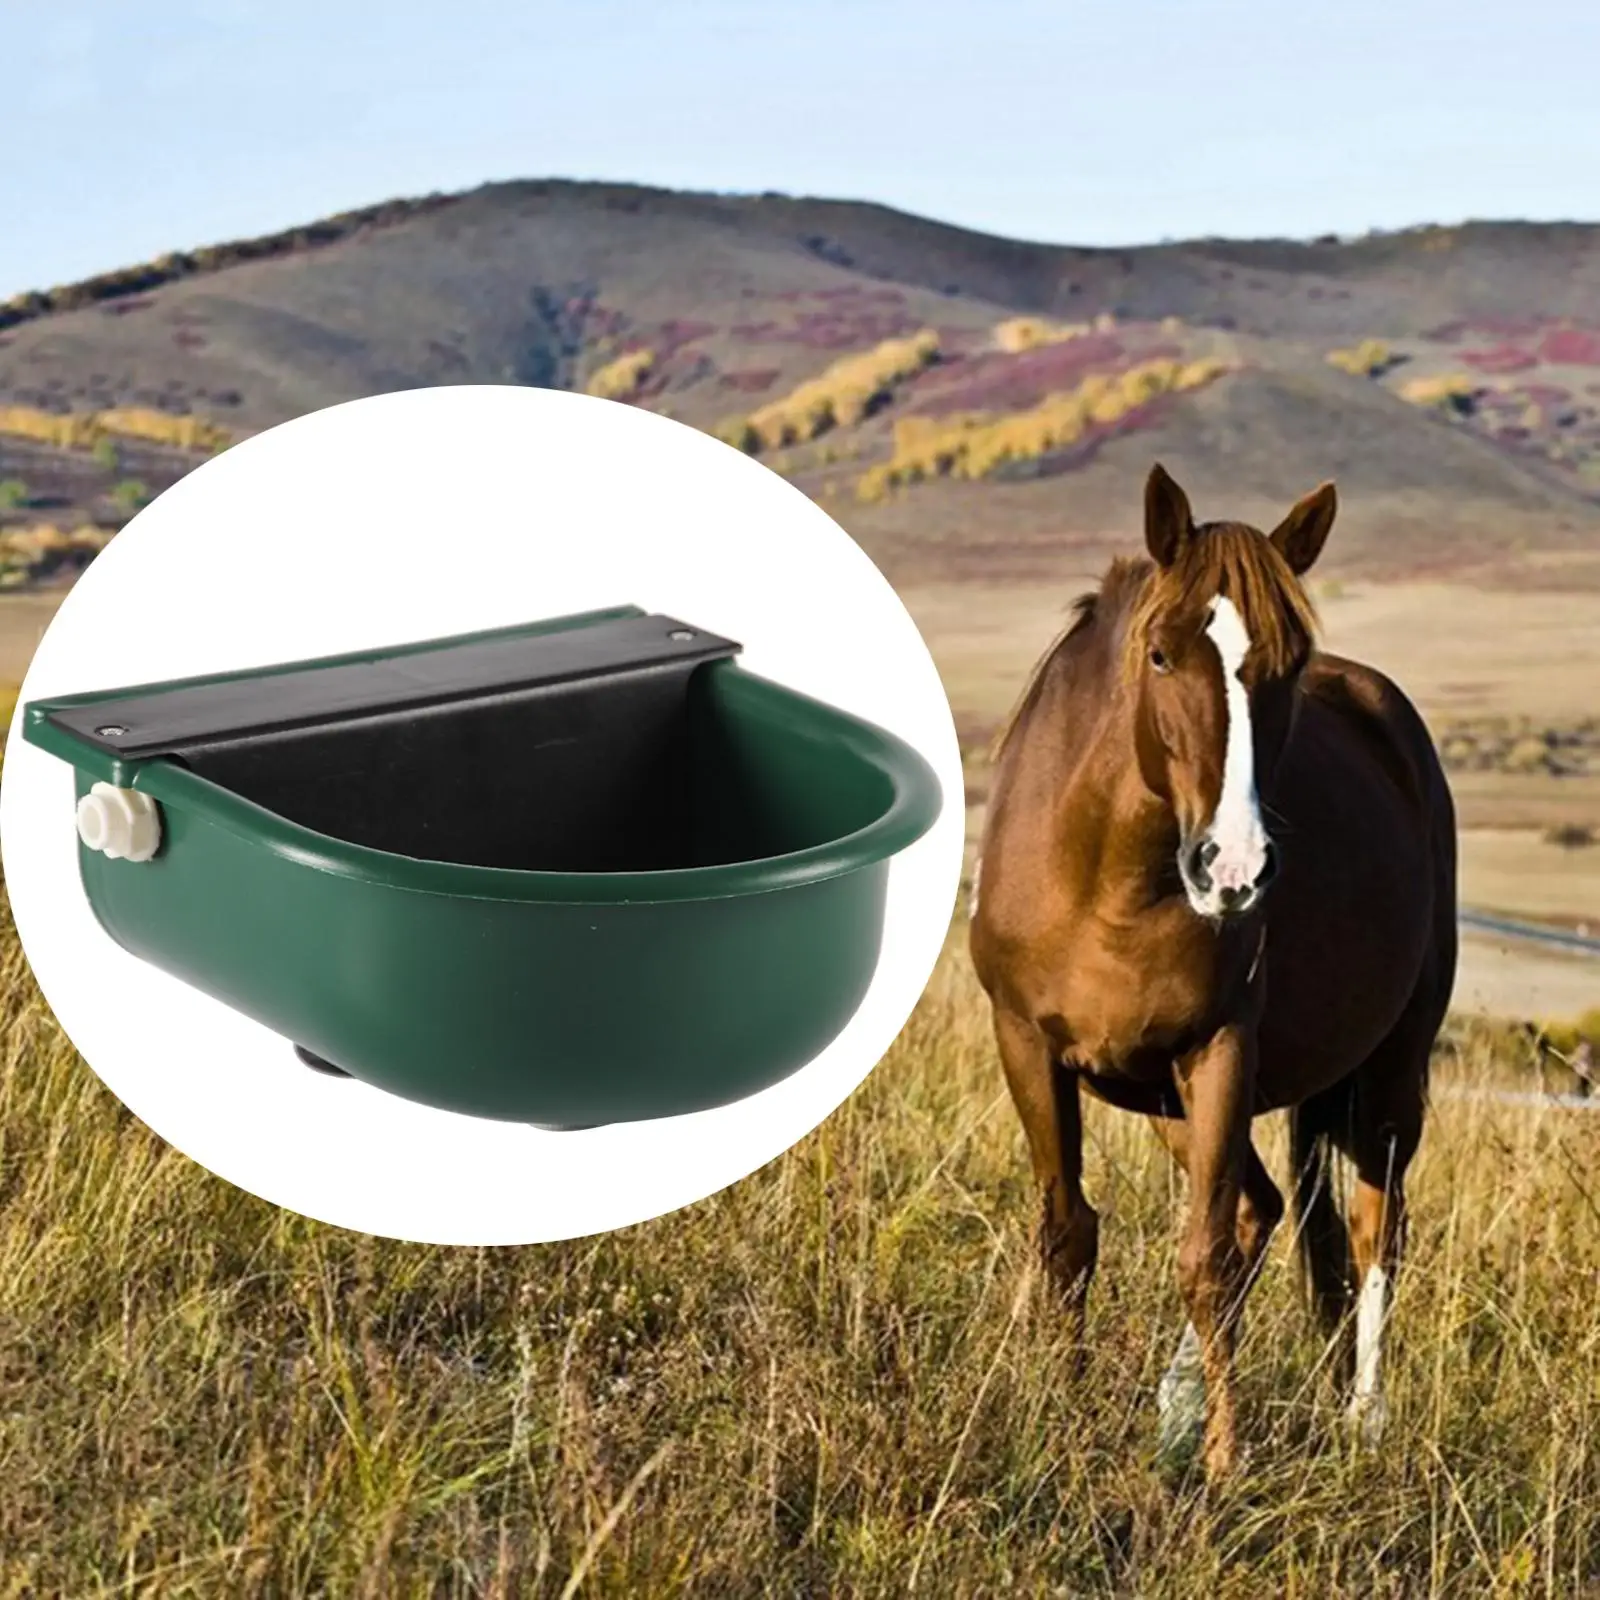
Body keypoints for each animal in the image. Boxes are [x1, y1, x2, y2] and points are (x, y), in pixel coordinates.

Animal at [968, 463, 1458, 1481]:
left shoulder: (1221, 1051)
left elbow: (1203, 1258)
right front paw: (1062, 1412)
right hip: (1163, 1100)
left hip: (1391, 1070)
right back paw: (1178, 1406)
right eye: (1160, 655)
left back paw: (1363, 1423)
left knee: (1371, 1230)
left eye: (1290, 664)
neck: (1107, 878)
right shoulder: (1027, 1045)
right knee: (1262, 1211)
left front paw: (1227, 1464)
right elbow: (1070, 1232)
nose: (1233, 868)